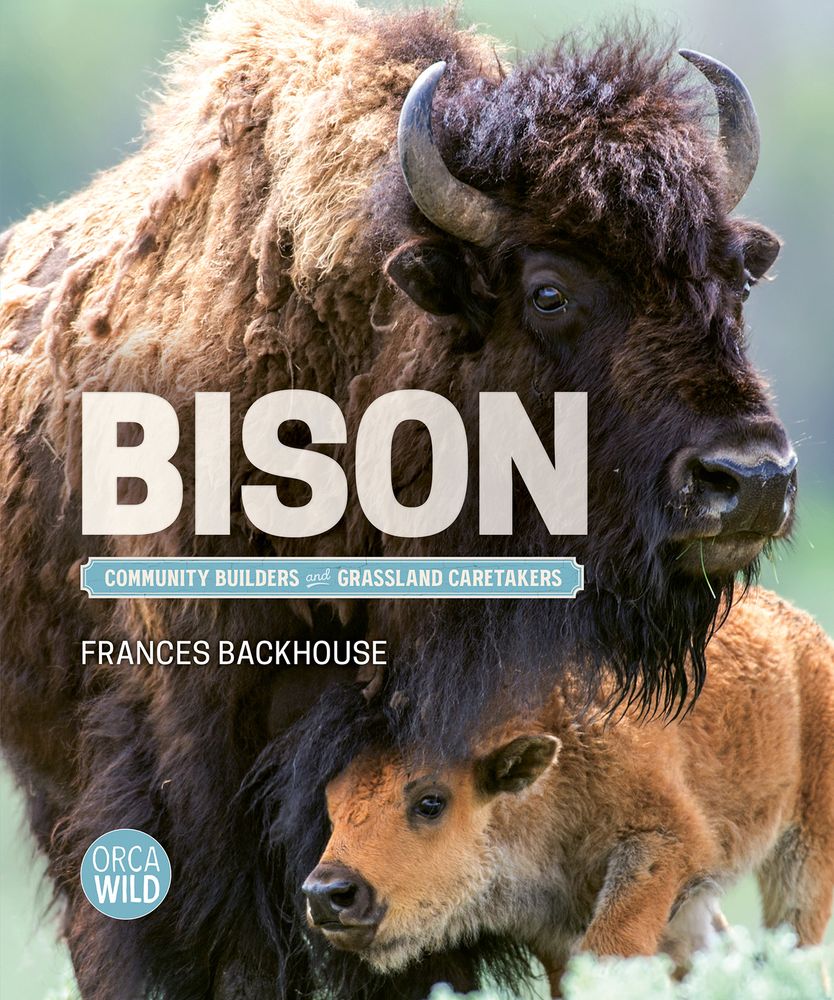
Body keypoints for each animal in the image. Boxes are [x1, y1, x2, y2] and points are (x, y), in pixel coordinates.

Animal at [304, 590, 834, 996]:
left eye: (431, 802)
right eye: (333, 804)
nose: (327, 894)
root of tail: (807, 637)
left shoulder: (667, 841)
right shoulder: (550, 926)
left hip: (804, 852)